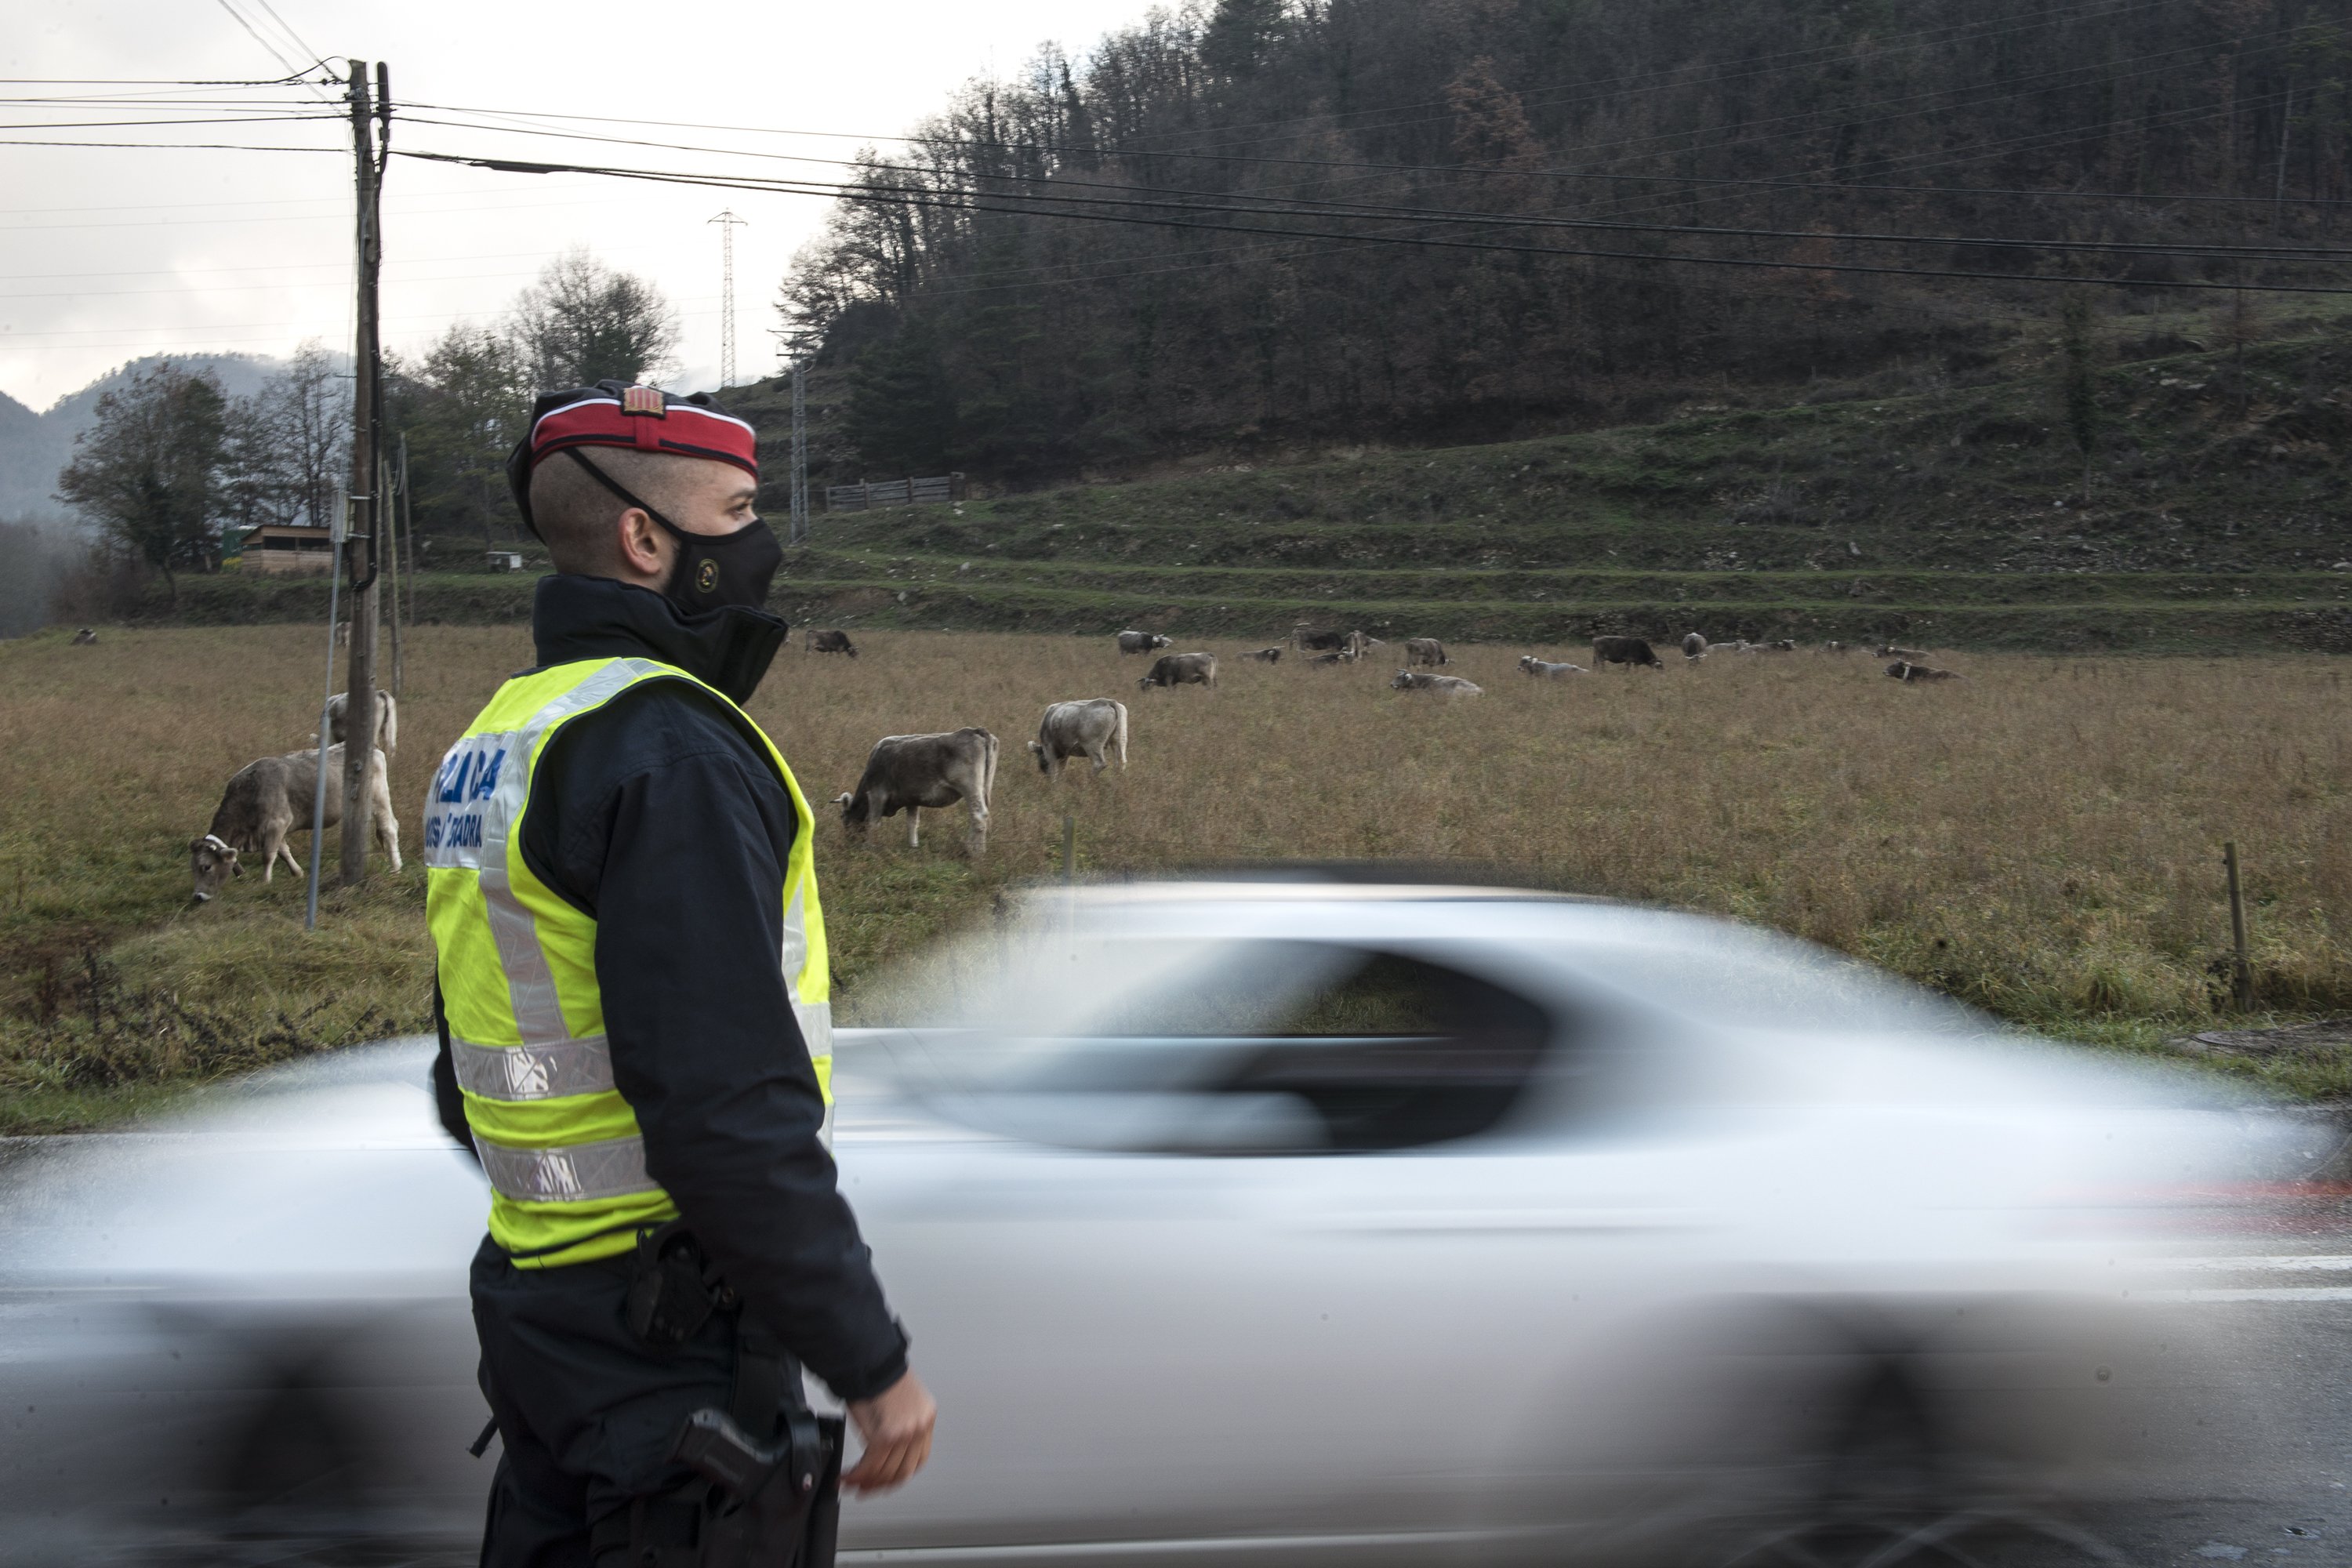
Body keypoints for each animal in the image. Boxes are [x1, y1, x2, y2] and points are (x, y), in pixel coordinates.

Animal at [189, 742, 400, 902]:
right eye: (192, 868)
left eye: (206, 867)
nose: (198, 896)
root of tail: (373, 748)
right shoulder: (272, 829)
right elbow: (283, 851)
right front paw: (297, 873)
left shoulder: (278, 822)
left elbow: (268, 855)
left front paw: (265, 882)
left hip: (379, 799)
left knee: (389, 829)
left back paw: (396, 868)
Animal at [833, 728, 997, 851]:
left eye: (842, 816)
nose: (849, 841)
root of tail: (975, 730)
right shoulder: (912, 798)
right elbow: (912, 823)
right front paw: (913, 846)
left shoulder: (876, 794)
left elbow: (873, 822)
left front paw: (869, 847)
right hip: (984, 788)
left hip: (970, 788)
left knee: (978, 816)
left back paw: (974, 852)